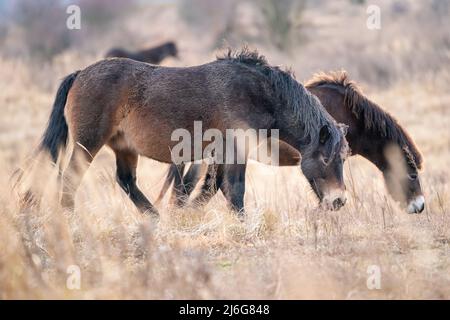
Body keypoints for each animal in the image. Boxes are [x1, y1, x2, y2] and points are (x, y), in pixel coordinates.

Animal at [37, 48, 350, 219]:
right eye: (325, 158)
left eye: (343, 158)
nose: (339, 201)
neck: (258, 94)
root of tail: (80, 74)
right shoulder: (235, 150)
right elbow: (234, 190)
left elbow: (214, 189)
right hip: (87, 145)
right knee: (70, 181)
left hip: (123, 147)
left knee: (126, 181)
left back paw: (154, 218)